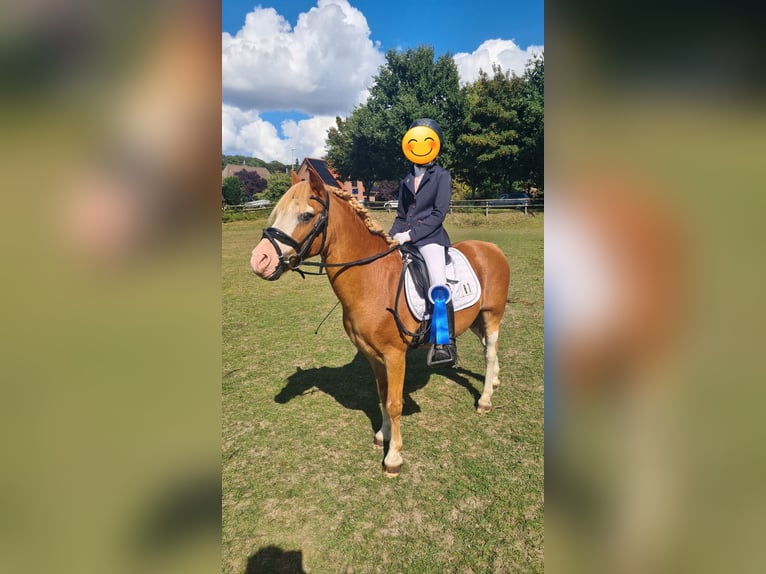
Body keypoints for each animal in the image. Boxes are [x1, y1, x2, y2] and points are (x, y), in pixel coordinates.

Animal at [250, 168, 511, 476]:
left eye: (305, 216)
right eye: (277, 213)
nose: (259, 260)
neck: (372, 279)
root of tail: (491, 248)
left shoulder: (394, 355)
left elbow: (394, 402)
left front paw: (394, 457)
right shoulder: (373, 356)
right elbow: (381, 395)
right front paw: (382, 435)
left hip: (492, 314)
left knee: (489, 351)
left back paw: (485, 400)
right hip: (474, 319)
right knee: (487, 348)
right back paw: (495, 381)